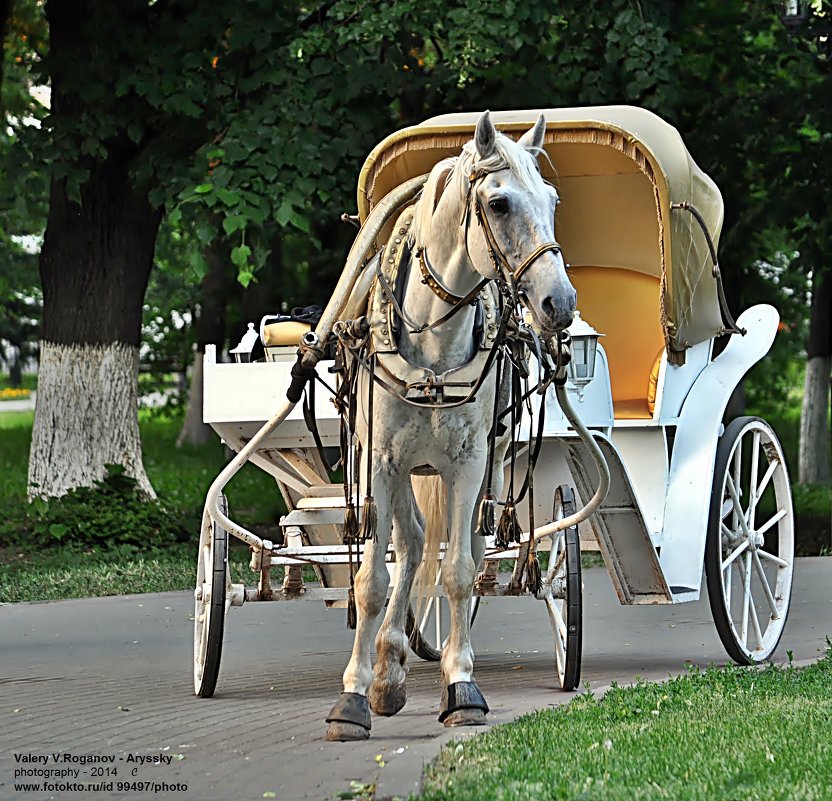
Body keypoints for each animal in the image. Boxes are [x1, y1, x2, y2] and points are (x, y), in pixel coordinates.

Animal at [326, 109, 580, 740]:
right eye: (499, 203)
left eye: (552, 199)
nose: (560, 304)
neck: (434, 351)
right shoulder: (381, 463)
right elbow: (373, 582)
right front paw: (353, 696)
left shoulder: (468, 464)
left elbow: (460, 573)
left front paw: (461, 686)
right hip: (400, 472)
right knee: (411, 545)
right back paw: (386, 670)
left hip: (475, 468)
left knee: (451, 549)